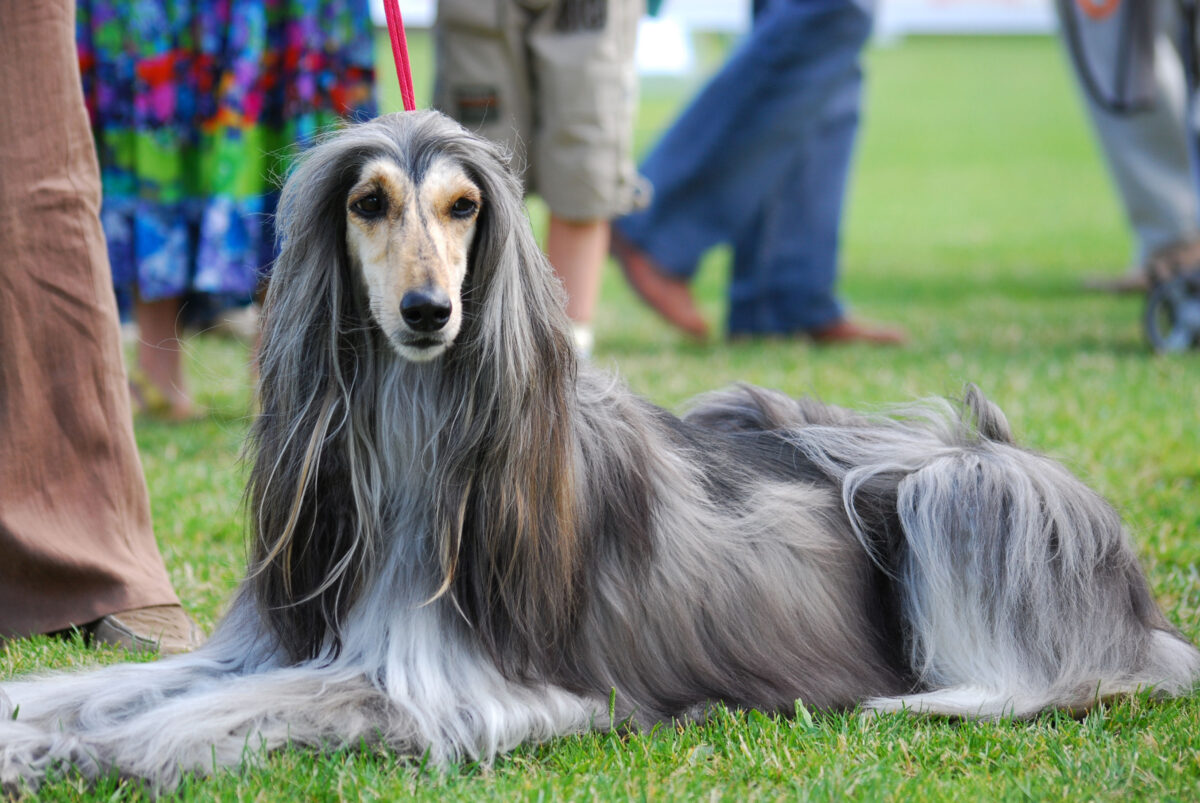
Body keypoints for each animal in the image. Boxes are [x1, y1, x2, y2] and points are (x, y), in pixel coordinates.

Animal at [2, 111, 1200, 787]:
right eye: (369, 201)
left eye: (465, 205)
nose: (430, 312)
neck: (417, 441)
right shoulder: (271, 640)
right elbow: (115, 683)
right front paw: (42, 730)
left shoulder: (467, 690)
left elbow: (229, 707)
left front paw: (125, 748)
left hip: (971, 489)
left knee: (1058, 673)